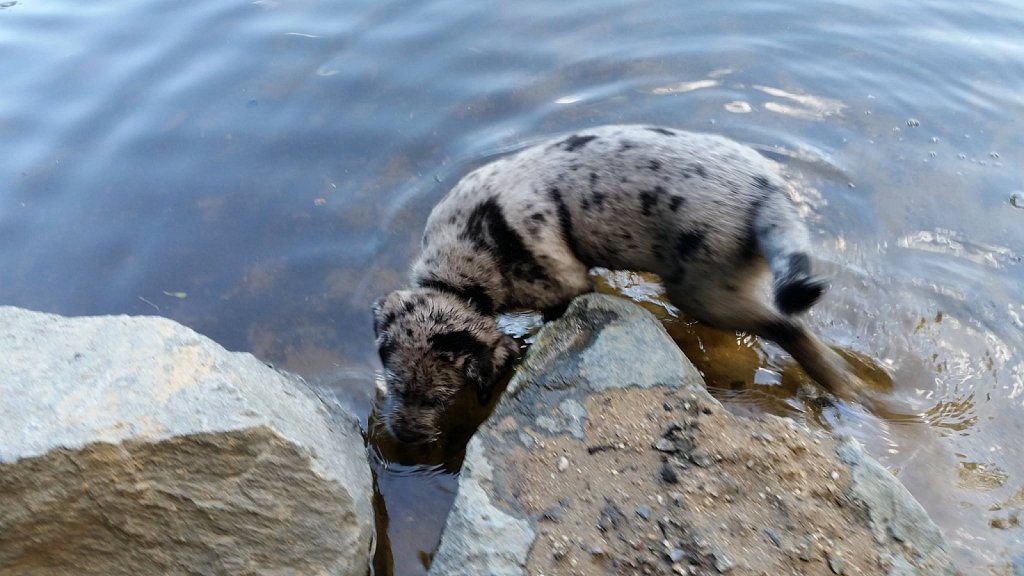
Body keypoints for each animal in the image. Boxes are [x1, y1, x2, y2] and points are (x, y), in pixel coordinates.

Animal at [372, 124, 860, 438]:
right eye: (396, 388)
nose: (405, 438)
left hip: (704, 290)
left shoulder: (565, 285)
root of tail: (765, 191)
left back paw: (839, 383)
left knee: (788, 326)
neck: (459, 271)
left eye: (438, 398)